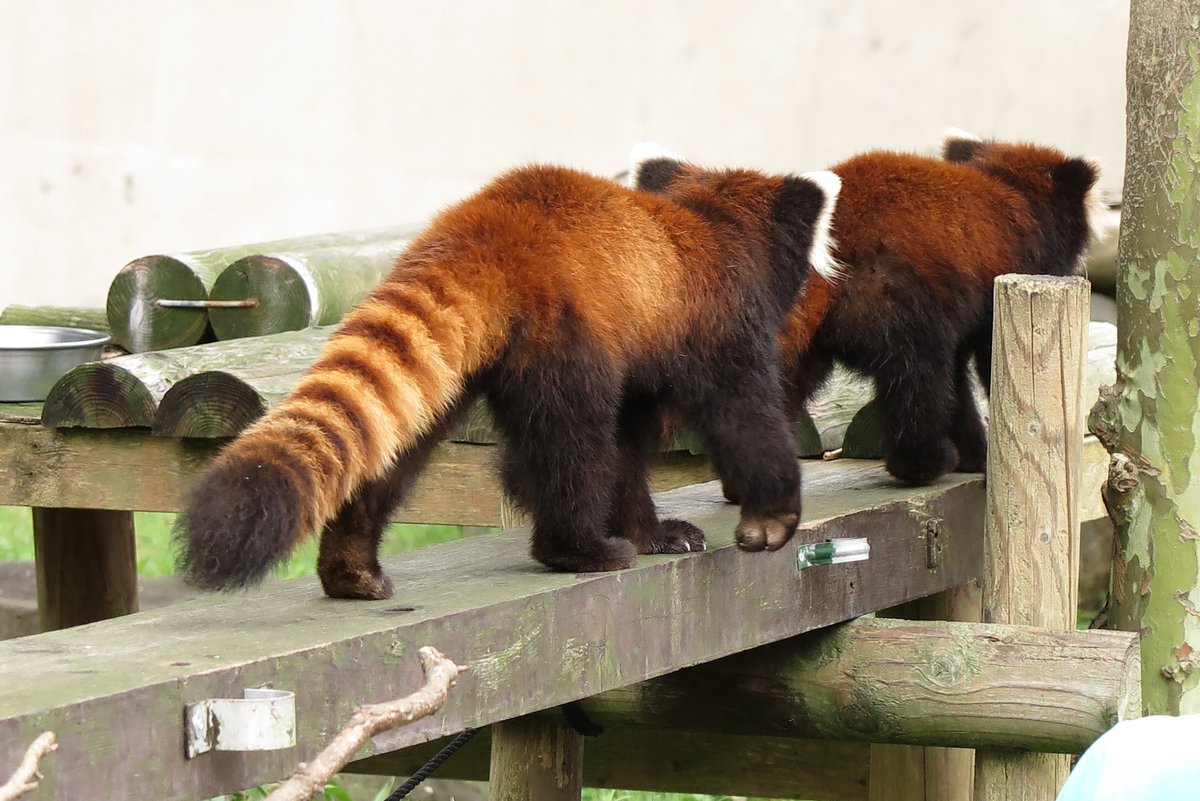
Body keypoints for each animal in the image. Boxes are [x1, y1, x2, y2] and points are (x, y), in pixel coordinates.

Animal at [175, 164, 844, 599]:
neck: (712, 221)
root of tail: (484, 225)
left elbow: (629, 451)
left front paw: (652, 533)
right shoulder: (717, 328)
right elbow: (744, 420)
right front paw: (771, 518)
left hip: (460, 359)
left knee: (398, 445)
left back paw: (353, 572)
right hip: (565, 335)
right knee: (572, 445)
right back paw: (579, 550)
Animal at [633, 133, 1099, 484]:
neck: (1008, 189)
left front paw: (975, 453)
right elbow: (985, 368)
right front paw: (976, 453)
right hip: (896, 292)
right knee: (916, 377)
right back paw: (922, 463)